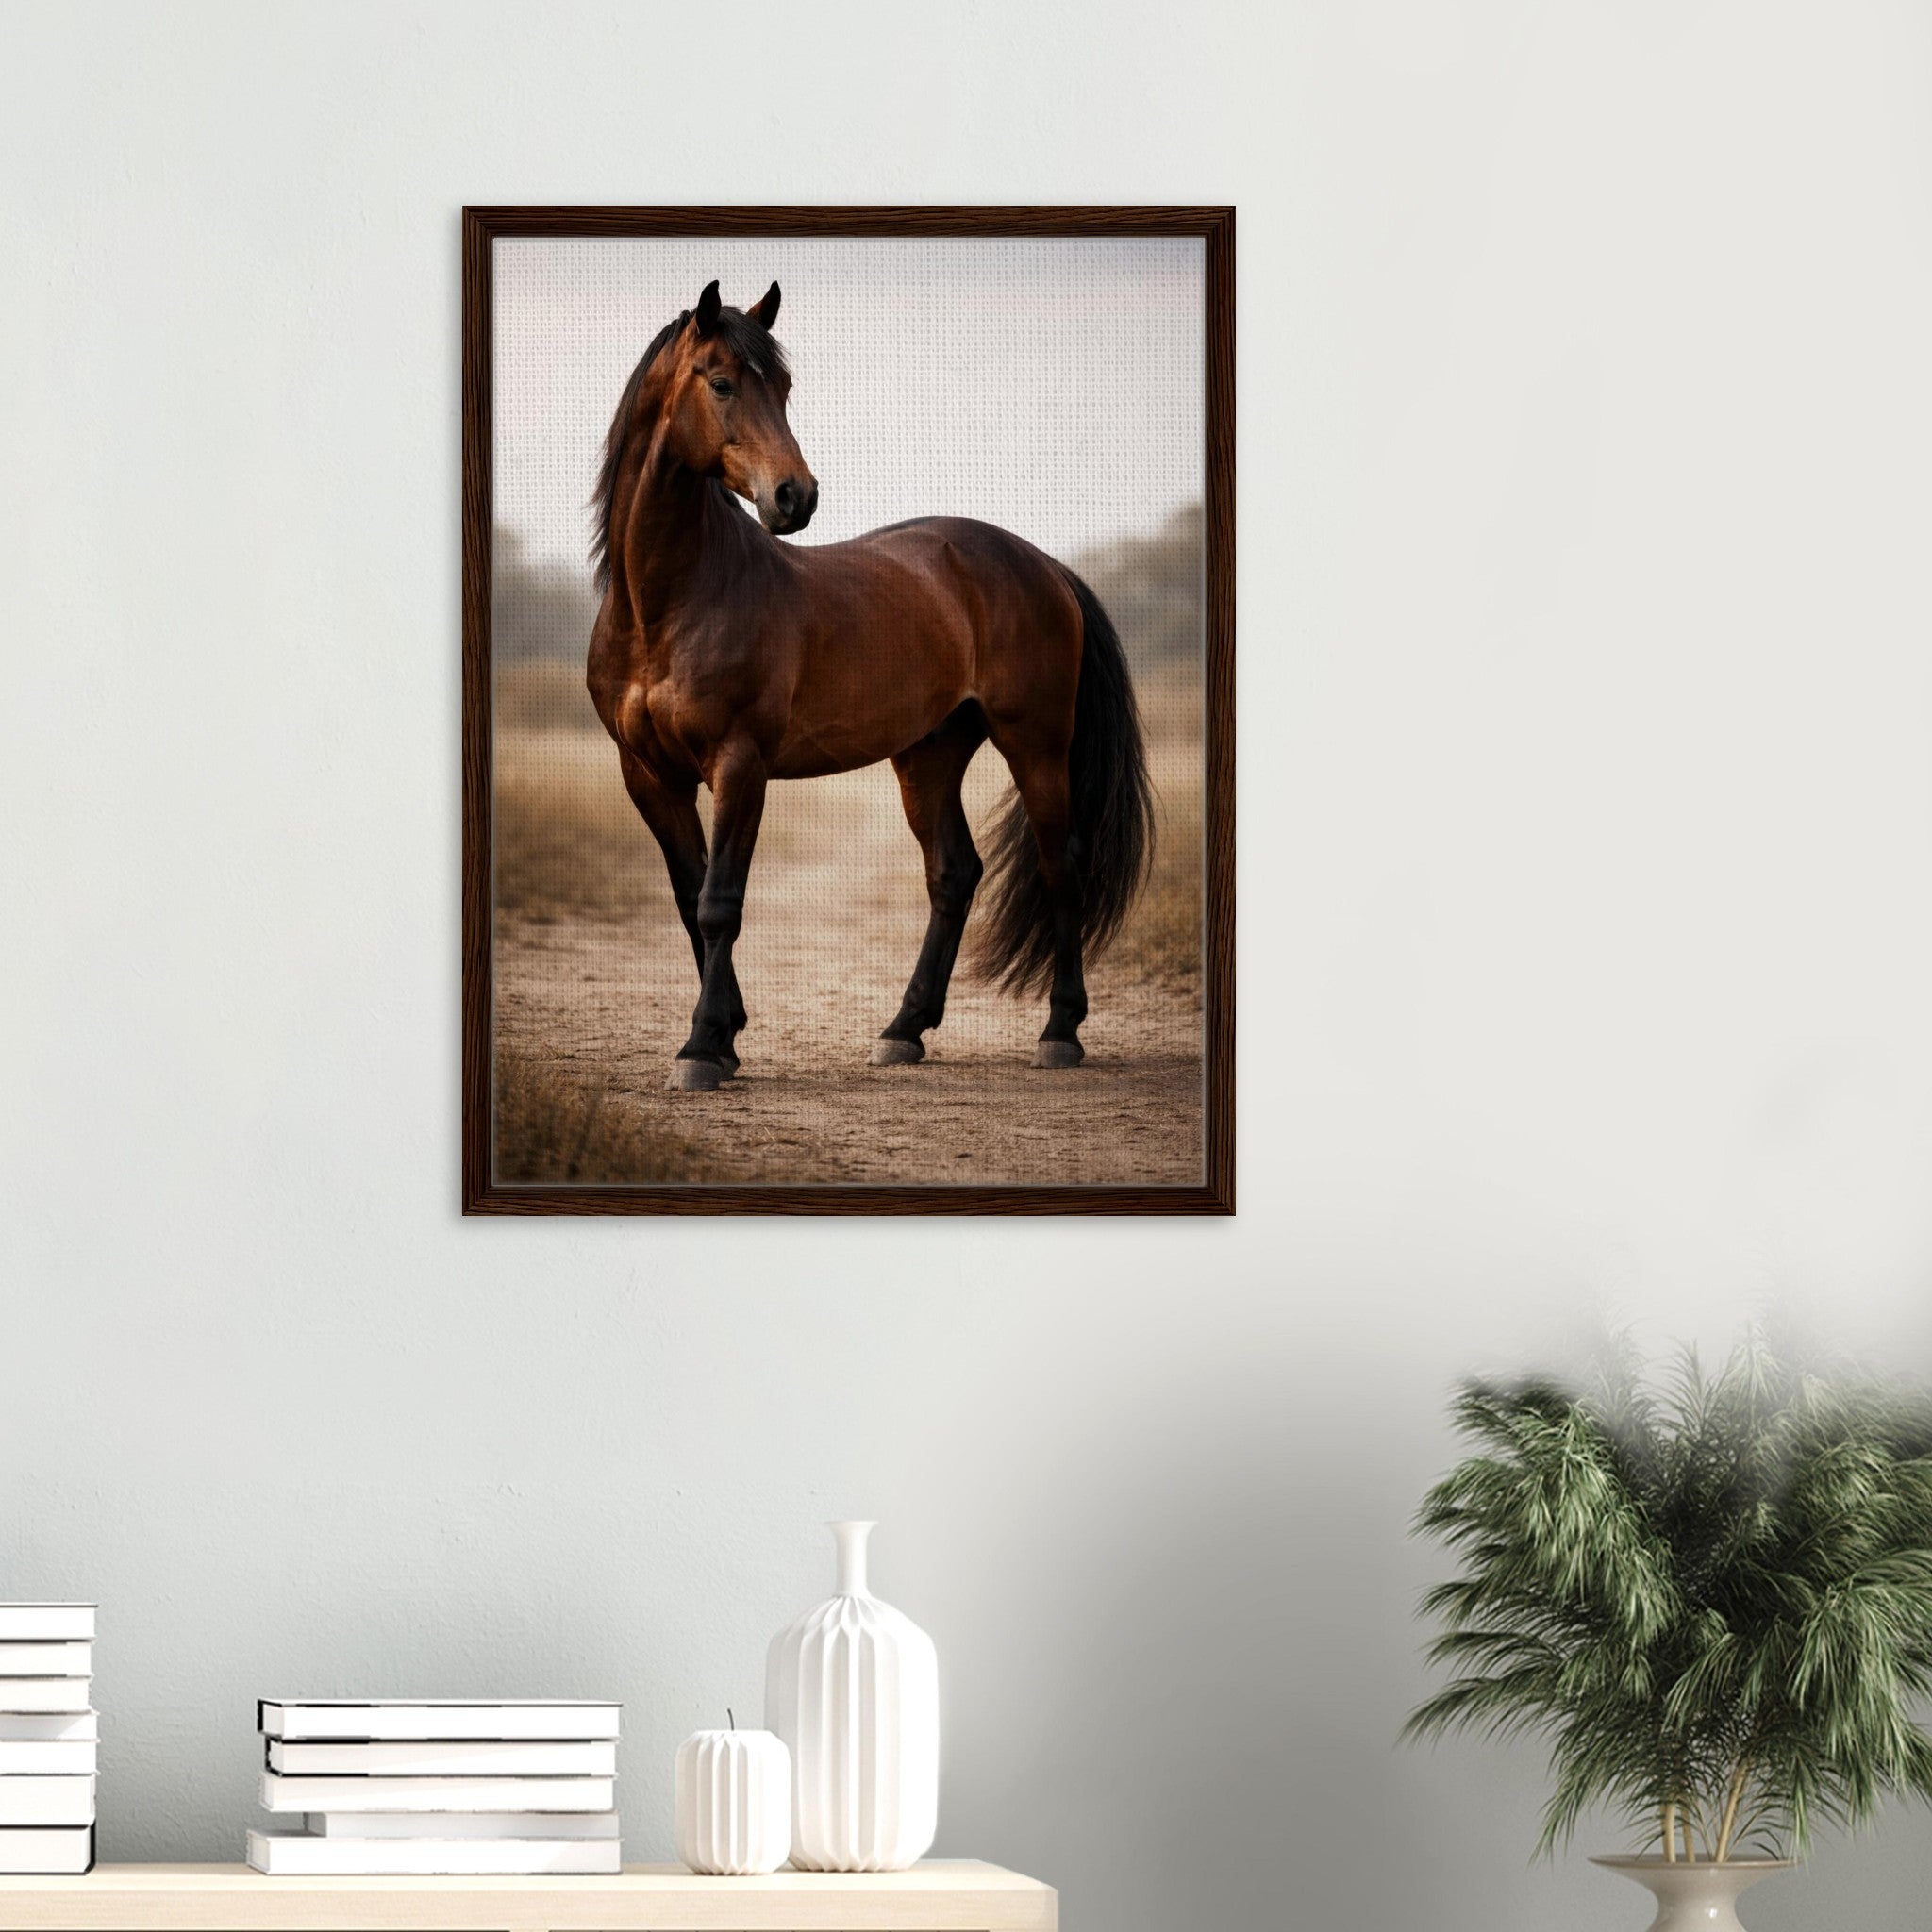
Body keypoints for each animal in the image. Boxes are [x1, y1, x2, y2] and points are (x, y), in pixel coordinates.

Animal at [584, 279, 1153, 1092]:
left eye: (784, 387)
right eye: (721, 383)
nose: (795, 497)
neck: (669, 603)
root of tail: (1042, 563)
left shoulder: (739, 765)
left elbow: (721, 902)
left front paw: (700, 1048)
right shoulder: (649, 776)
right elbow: (691, 902)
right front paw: (722, 1038)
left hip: (1035, 745)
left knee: (1060, 867)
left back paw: (1059, 1032)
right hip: (929, 755)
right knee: (954, 874)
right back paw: (903, 1030)